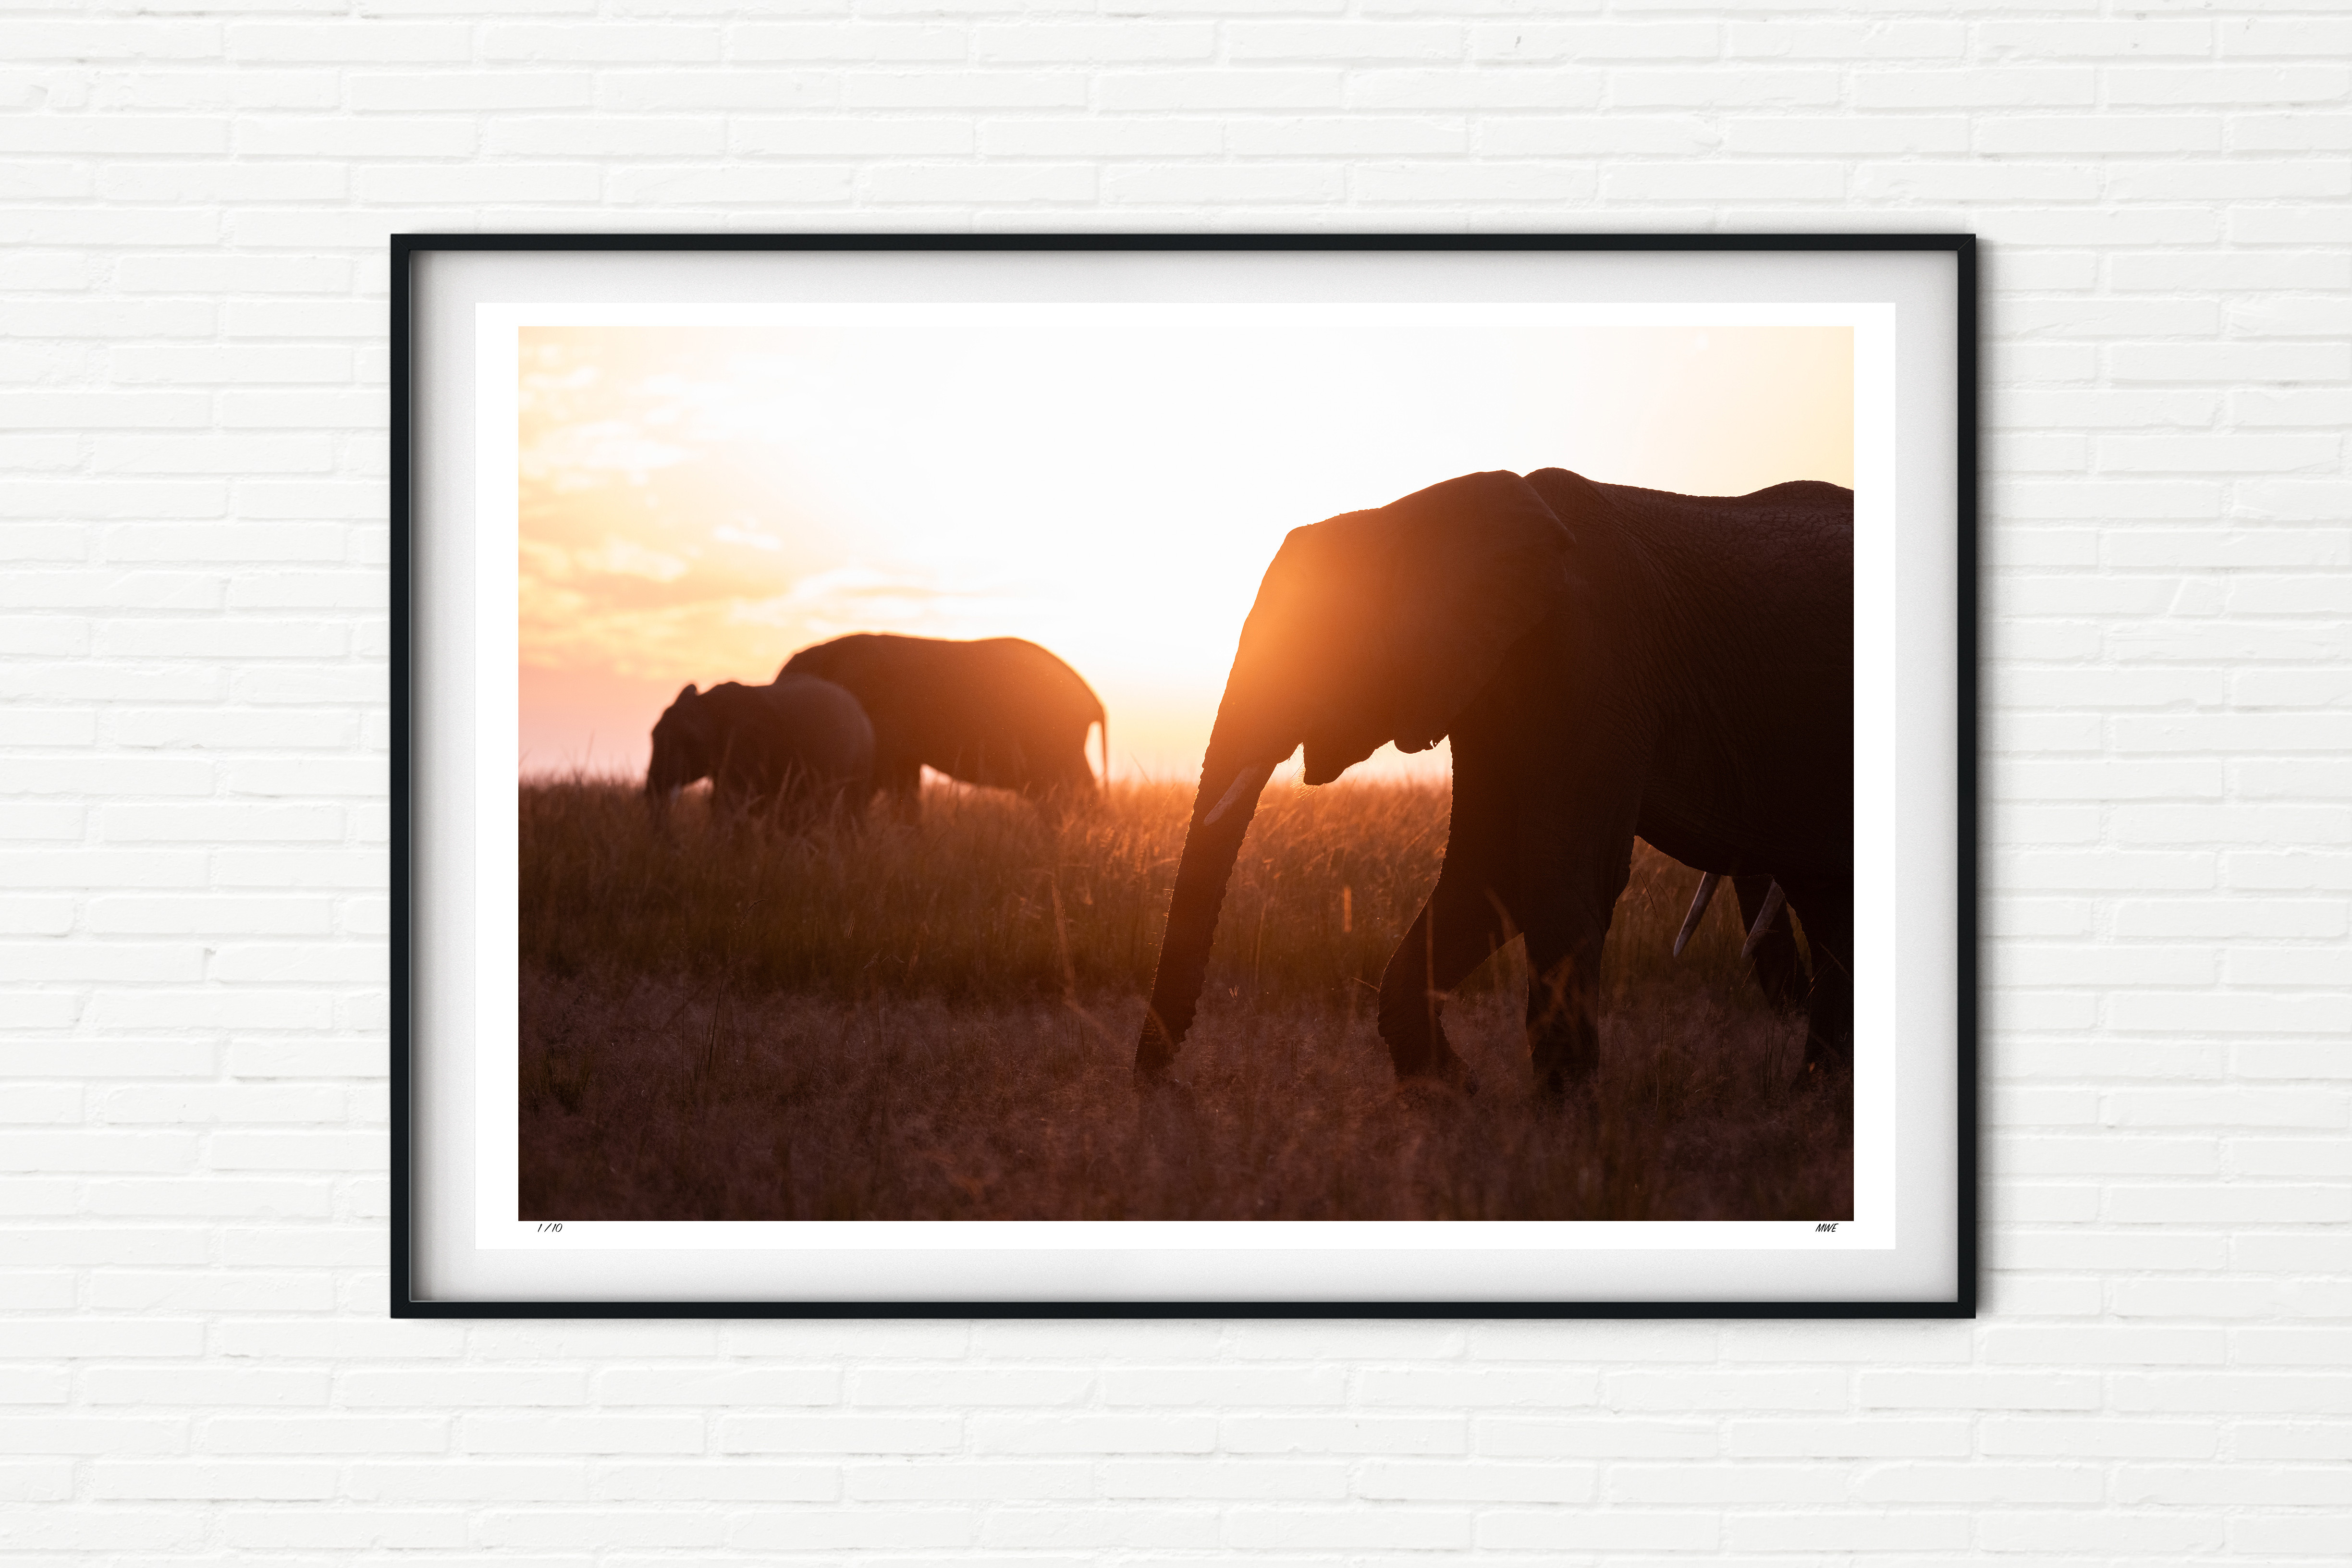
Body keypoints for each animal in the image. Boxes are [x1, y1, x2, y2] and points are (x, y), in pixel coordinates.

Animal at [1134, 467, 1852, 1100]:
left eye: (1317, 643)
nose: (1172, 1090)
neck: (1420, 519)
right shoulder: (1486, 684)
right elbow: (1490, 871)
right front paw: (1452, 1094)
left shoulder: (1597, 661)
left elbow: (1561, 871)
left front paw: (1560, 1121)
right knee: (1826, 900)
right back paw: (1812, 1101)